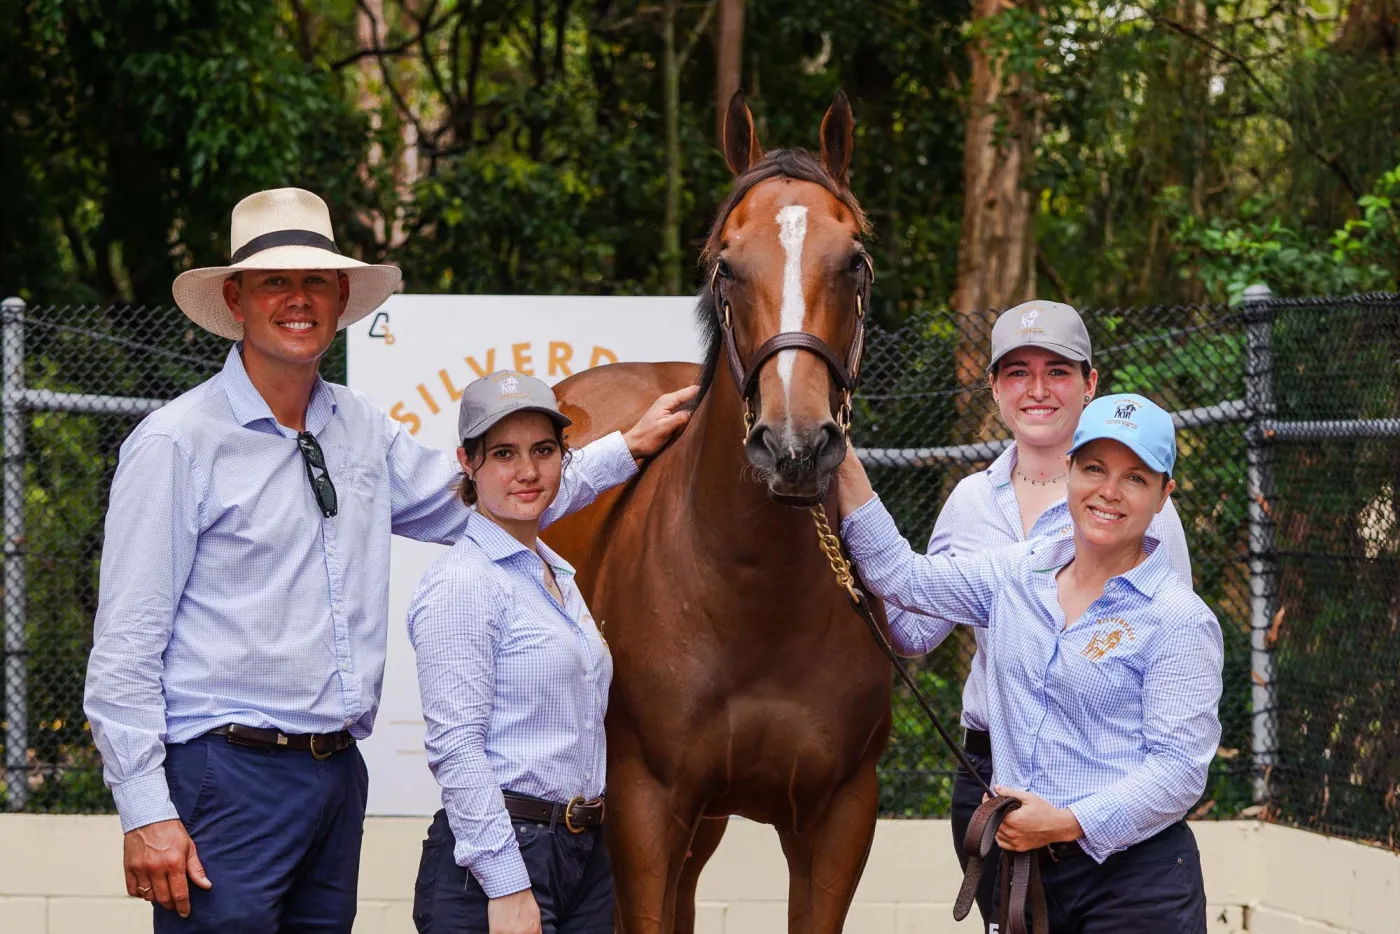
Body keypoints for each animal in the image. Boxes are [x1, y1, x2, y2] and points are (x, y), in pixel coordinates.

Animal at [544, 91, 893, 933]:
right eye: (726, 266)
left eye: (855, 260)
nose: (796, 446)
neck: (754, 602)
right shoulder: (643, 806)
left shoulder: (838, 818)